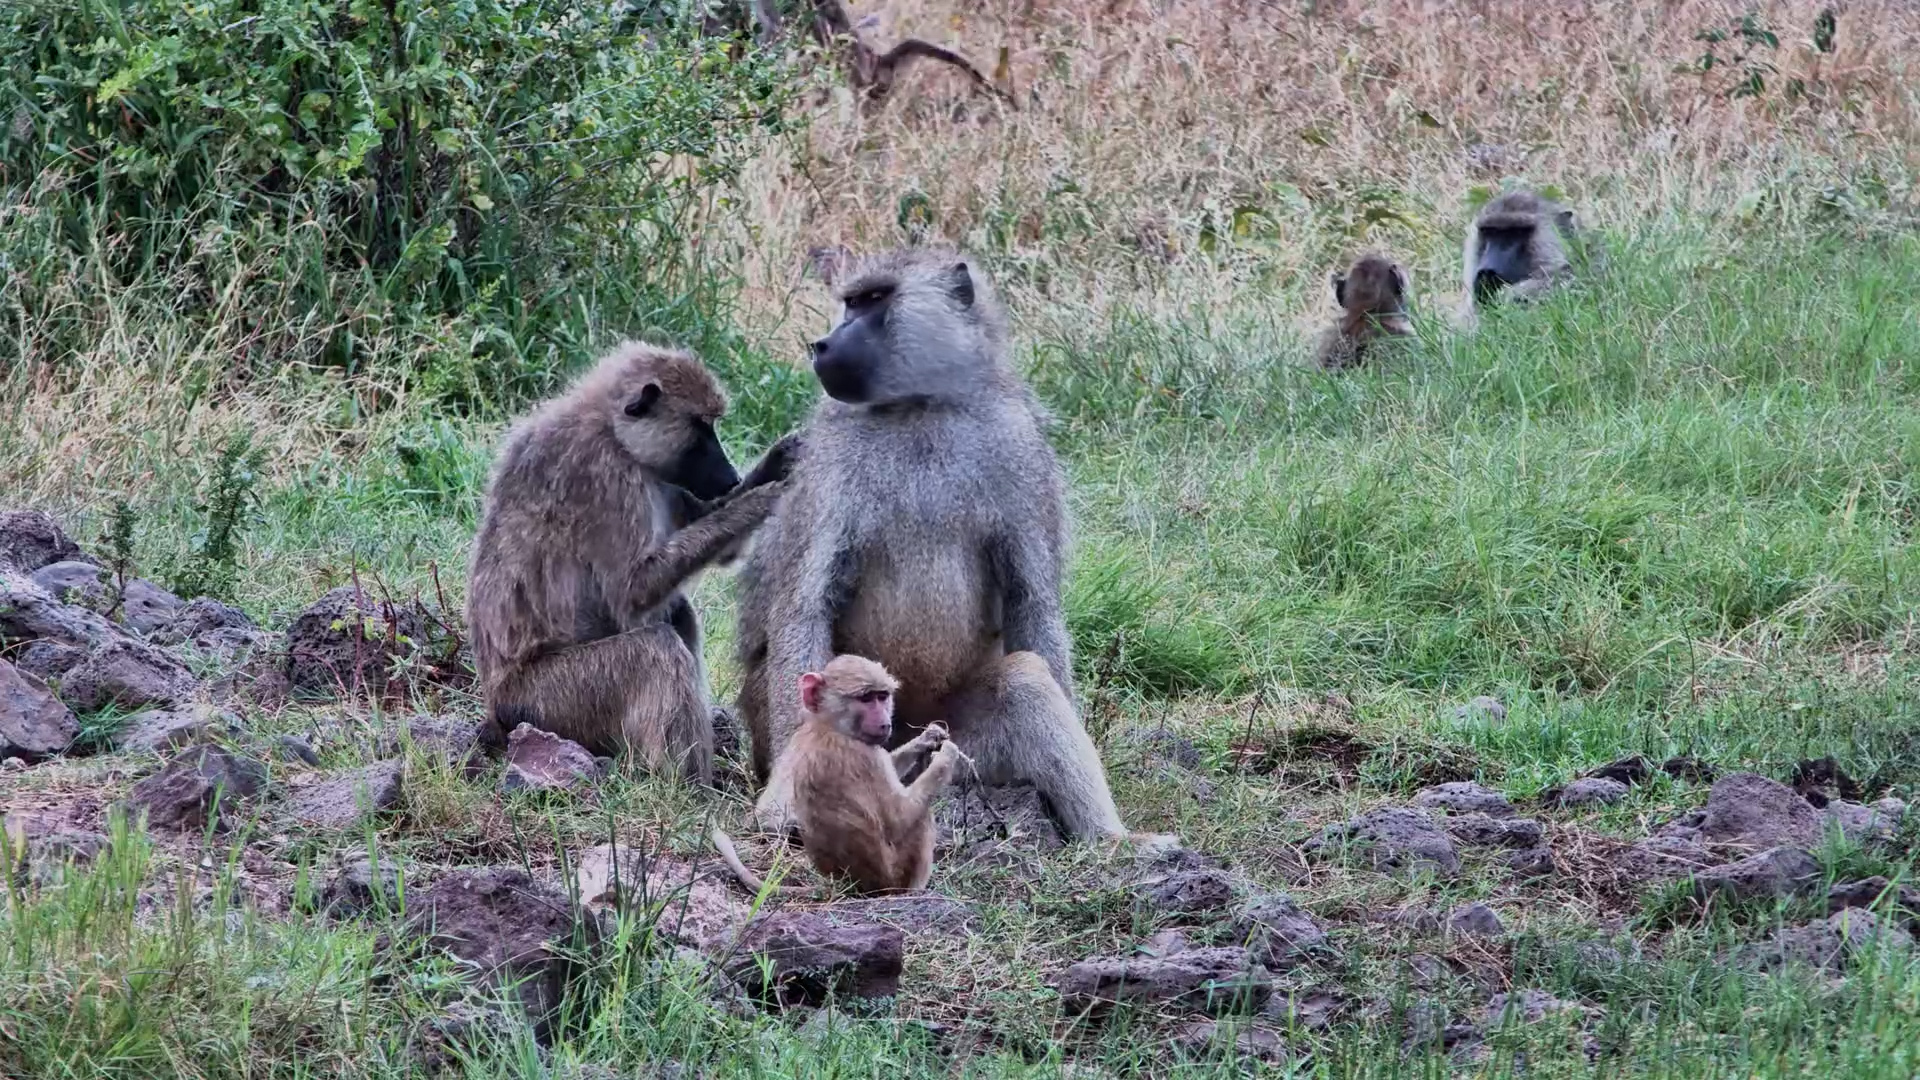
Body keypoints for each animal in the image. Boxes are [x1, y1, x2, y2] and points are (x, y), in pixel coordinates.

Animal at [467, 342, 797, 785]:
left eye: (712, 424)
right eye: (700, 428)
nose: (729, 477)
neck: (612, 431)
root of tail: (496, 709)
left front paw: (778, 461)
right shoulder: (606, 476)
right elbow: (632, 593)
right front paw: (762, 498)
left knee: (677, 613)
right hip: (546, 701)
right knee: (656, 649)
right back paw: (686, 788)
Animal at [712, 655, 960, 896]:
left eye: (882, 696)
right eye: (866, 698)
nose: (884, 723)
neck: (828, 725)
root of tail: (844, 883)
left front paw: (928, 739)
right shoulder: (865, 756)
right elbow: (899, 819)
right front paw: (947, 755)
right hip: (894, 877)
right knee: (921, 819)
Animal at [733, 247, 1138, 845]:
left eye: (875, 299)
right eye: (850, 302)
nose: (821, 344)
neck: (918, 407)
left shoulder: (1018, 446)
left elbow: (1032, 602)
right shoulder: (829, 461)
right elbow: (804, 607)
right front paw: (782, 800)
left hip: (961, 748)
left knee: (1023, 679)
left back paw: (1113, 842)